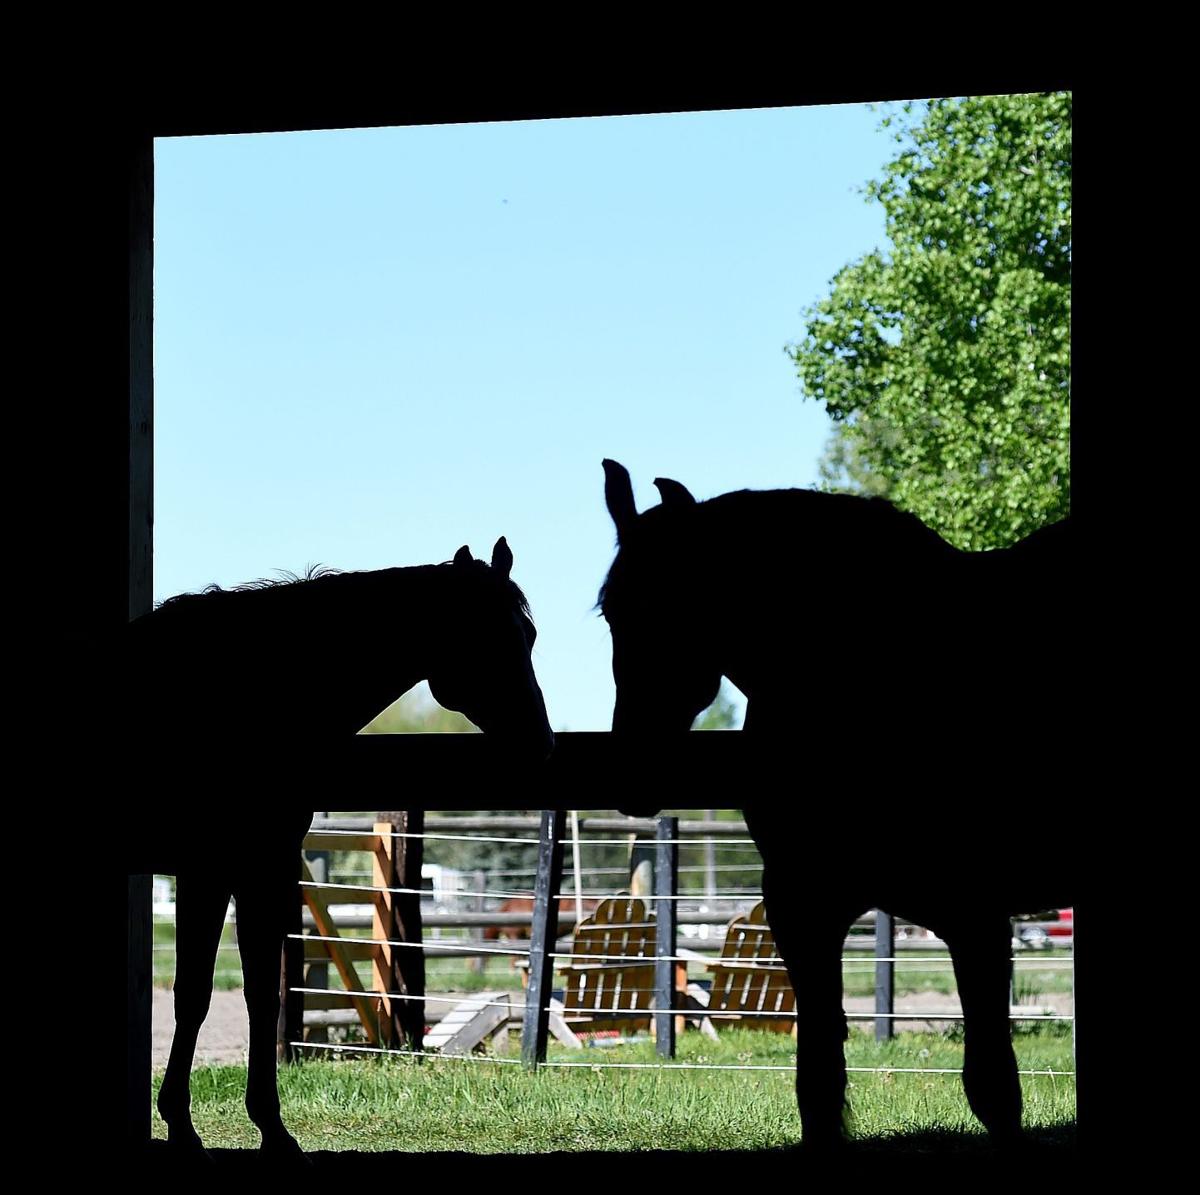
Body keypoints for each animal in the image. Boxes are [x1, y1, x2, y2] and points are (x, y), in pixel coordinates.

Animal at [123, 538, 553, 1161]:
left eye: (529, 635)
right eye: (482, 635)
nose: (540, 742)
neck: (244, 691)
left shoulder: (254, 870)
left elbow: (259, 995)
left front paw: (262, 1125)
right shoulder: (215, 871)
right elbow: (197, 994)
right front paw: (191, 1124)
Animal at [597, 458, 1073, 1148]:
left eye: (671, 605)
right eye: (611, 612)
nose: (631, 771)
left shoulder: (973, 912)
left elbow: (993, 1088)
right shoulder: (803, 903)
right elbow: (818, 1083)